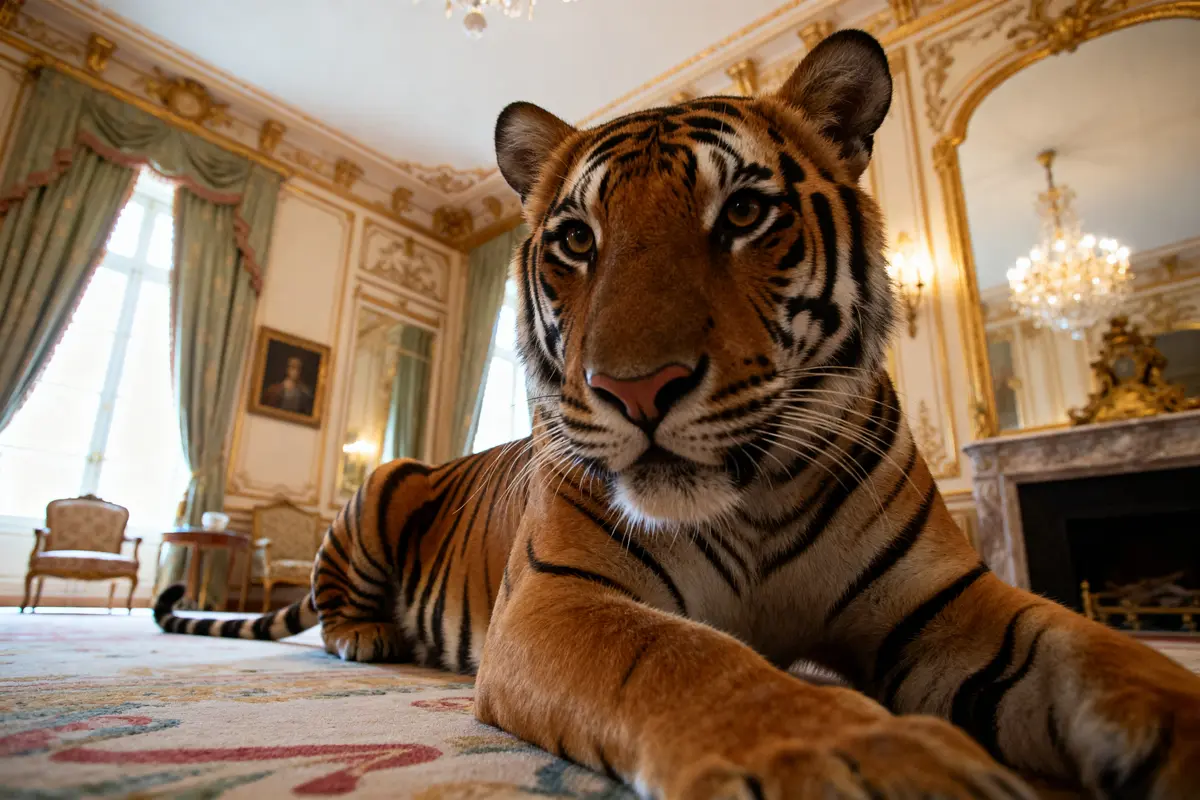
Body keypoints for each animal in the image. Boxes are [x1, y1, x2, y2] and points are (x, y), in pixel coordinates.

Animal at [155, 30, 1200, 799]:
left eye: (742, 213)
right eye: (577, 239)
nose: (635, 389)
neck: (755, 499)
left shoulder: (945, 602)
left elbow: (1101, 654)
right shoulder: (561, 602)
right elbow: (685, 659)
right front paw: (858, 761)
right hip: (384, 479)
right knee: (333, 601)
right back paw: (367, 635)